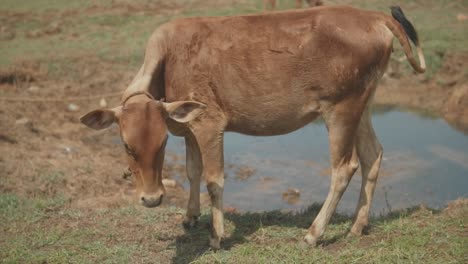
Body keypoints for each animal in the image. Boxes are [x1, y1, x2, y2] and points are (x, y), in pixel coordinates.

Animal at [81, 5, 428, 250]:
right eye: (126, 145)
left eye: (162, 143)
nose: (152, 199)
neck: (168, 61)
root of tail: (373, 16)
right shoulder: (190, 129)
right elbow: (193, 171)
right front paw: (190, 217)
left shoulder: (209, 124)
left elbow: (213, 180)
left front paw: (216, 237)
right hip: (363, 105)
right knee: (373, 155)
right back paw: (357, 225)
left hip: (341, 109)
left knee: (344, 167)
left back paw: (313, 234)